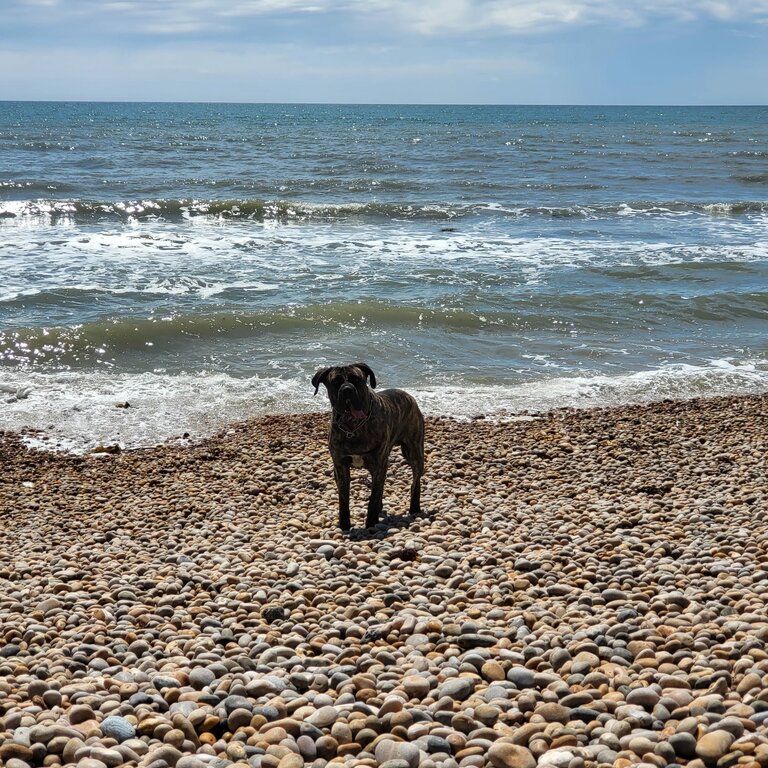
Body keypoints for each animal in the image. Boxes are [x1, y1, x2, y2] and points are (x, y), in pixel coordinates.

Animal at [312, 364, 426, 532]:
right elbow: (343, 499)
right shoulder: (340, 466)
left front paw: (371, 523)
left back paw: (414, 507)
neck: (352, 427)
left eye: (357, 380)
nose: (347, 389)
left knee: (415, 481)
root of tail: (409, 396)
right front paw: (344, 525)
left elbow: (373, 497)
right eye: (336, 381)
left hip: (414, 452)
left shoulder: (378, 465)